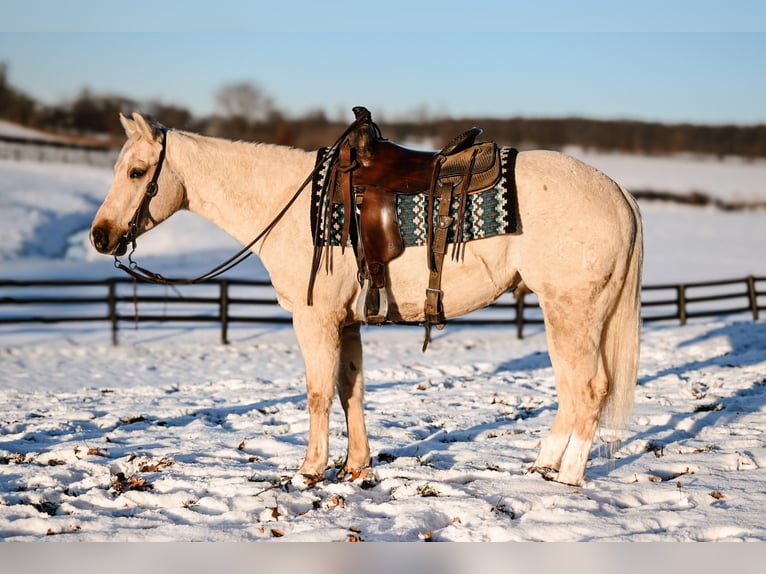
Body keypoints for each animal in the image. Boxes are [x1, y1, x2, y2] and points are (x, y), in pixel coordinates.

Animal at [88, 111, 640, 486]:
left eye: (137, 172)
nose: (100, 236)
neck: (292, 205)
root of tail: (619, 193)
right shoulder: (346, 321)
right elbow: (350, 389)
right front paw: (356, 467)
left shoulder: (314, 319)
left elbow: (317, 392)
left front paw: (310, 469)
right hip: (567, 314)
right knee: (571, 388)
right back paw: (543, 463)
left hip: (571, 312)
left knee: (588, 388)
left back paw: (567, 475)